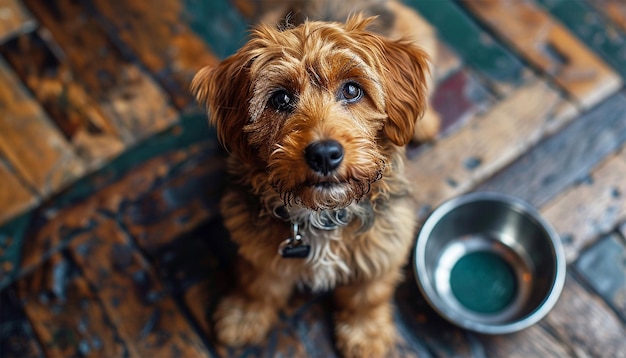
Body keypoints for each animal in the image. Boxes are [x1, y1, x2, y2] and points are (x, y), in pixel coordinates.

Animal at [190, 2, 438, 356]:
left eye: (352, 89)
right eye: (280, 99)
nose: (324, 154)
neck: (325, 216)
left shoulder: (388, 240)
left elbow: (368, 295)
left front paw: (366, 335)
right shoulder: (255, 244)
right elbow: (257, 284)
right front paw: (243, 316)